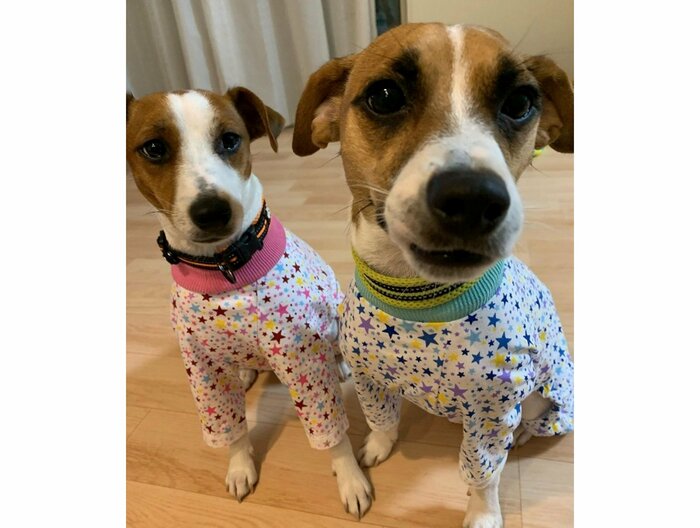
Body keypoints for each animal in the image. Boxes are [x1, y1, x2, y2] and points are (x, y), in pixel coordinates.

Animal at [126, 87, 372, 517]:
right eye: (154, 148)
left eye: (230, 140)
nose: (212, 210)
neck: (225, 271)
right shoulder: (201, 368)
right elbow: (229, 429)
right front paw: (240, 466)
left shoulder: (301, 358)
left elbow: (331, 431)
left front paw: (350, 479)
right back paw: (243, 372)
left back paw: (340, 364)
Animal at [292, 23, 574, 527]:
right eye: (384, 96)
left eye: (520, 102)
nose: (473, 198)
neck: (417, 299)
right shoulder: (367, 376)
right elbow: (381, 419)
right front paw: (378, 447)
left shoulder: (493, 412)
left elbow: (483, 472)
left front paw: (482, 512)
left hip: (547, 389)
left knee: (533, 417)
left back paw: (524, 434)